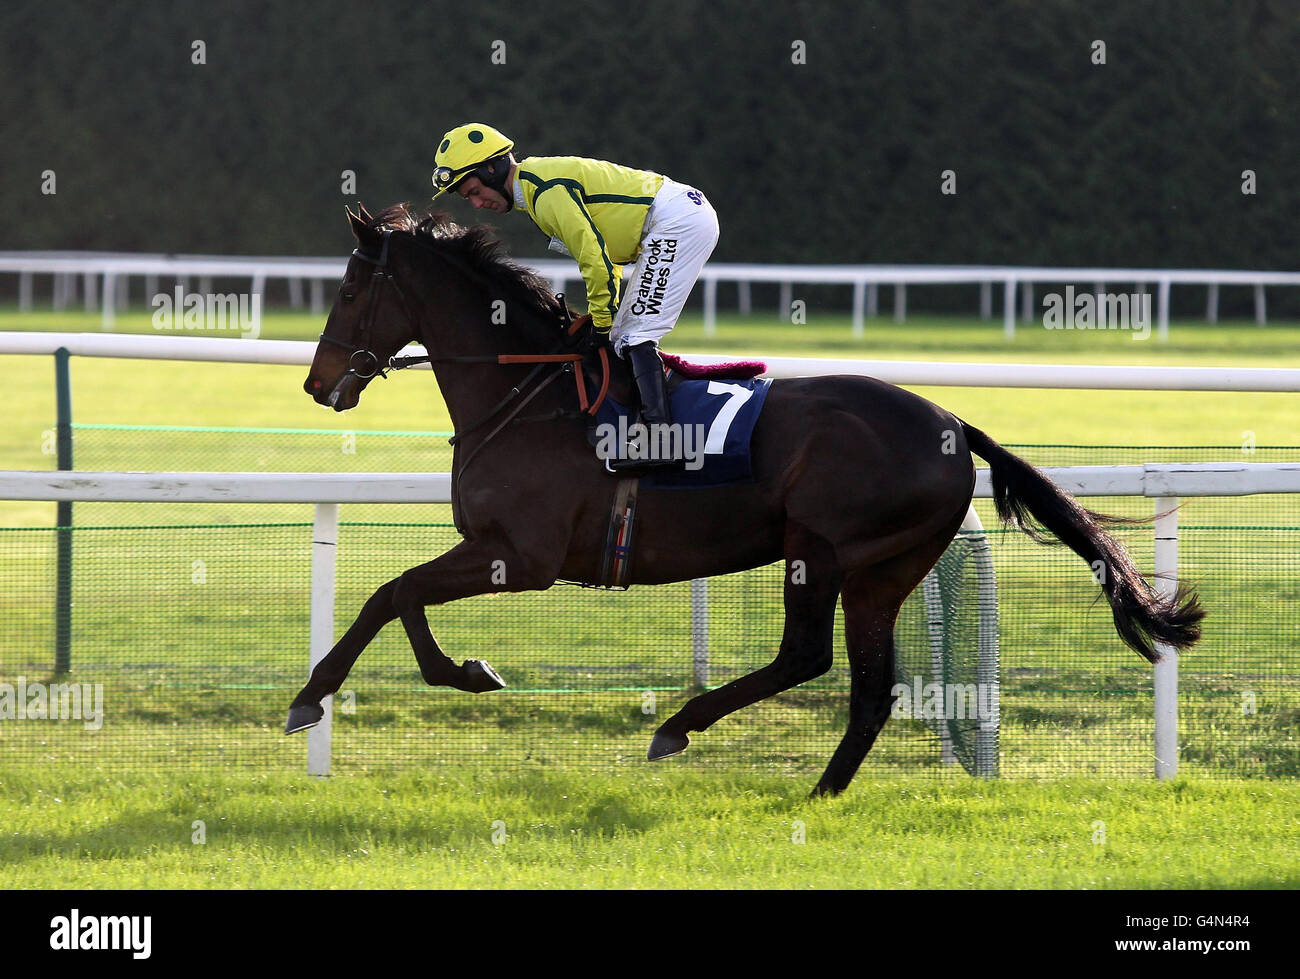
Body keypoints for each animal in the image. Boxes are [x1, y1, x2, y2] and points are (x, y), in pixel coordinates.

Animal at [289, 204, 1201, 795]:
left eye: (348, 291)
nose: (318, 382)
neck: (528, 393)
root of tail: (953, 423)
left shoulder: (523, 554)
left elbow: (393, 590)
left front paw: (355, 688)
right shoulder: (504, 552)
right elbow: (395, 594)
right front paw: (417, 677)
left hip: (824, 547)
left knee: (810, 657)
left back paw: (682, 728)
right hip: (884, 569)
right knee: (867, 684)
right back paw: (822, 790)